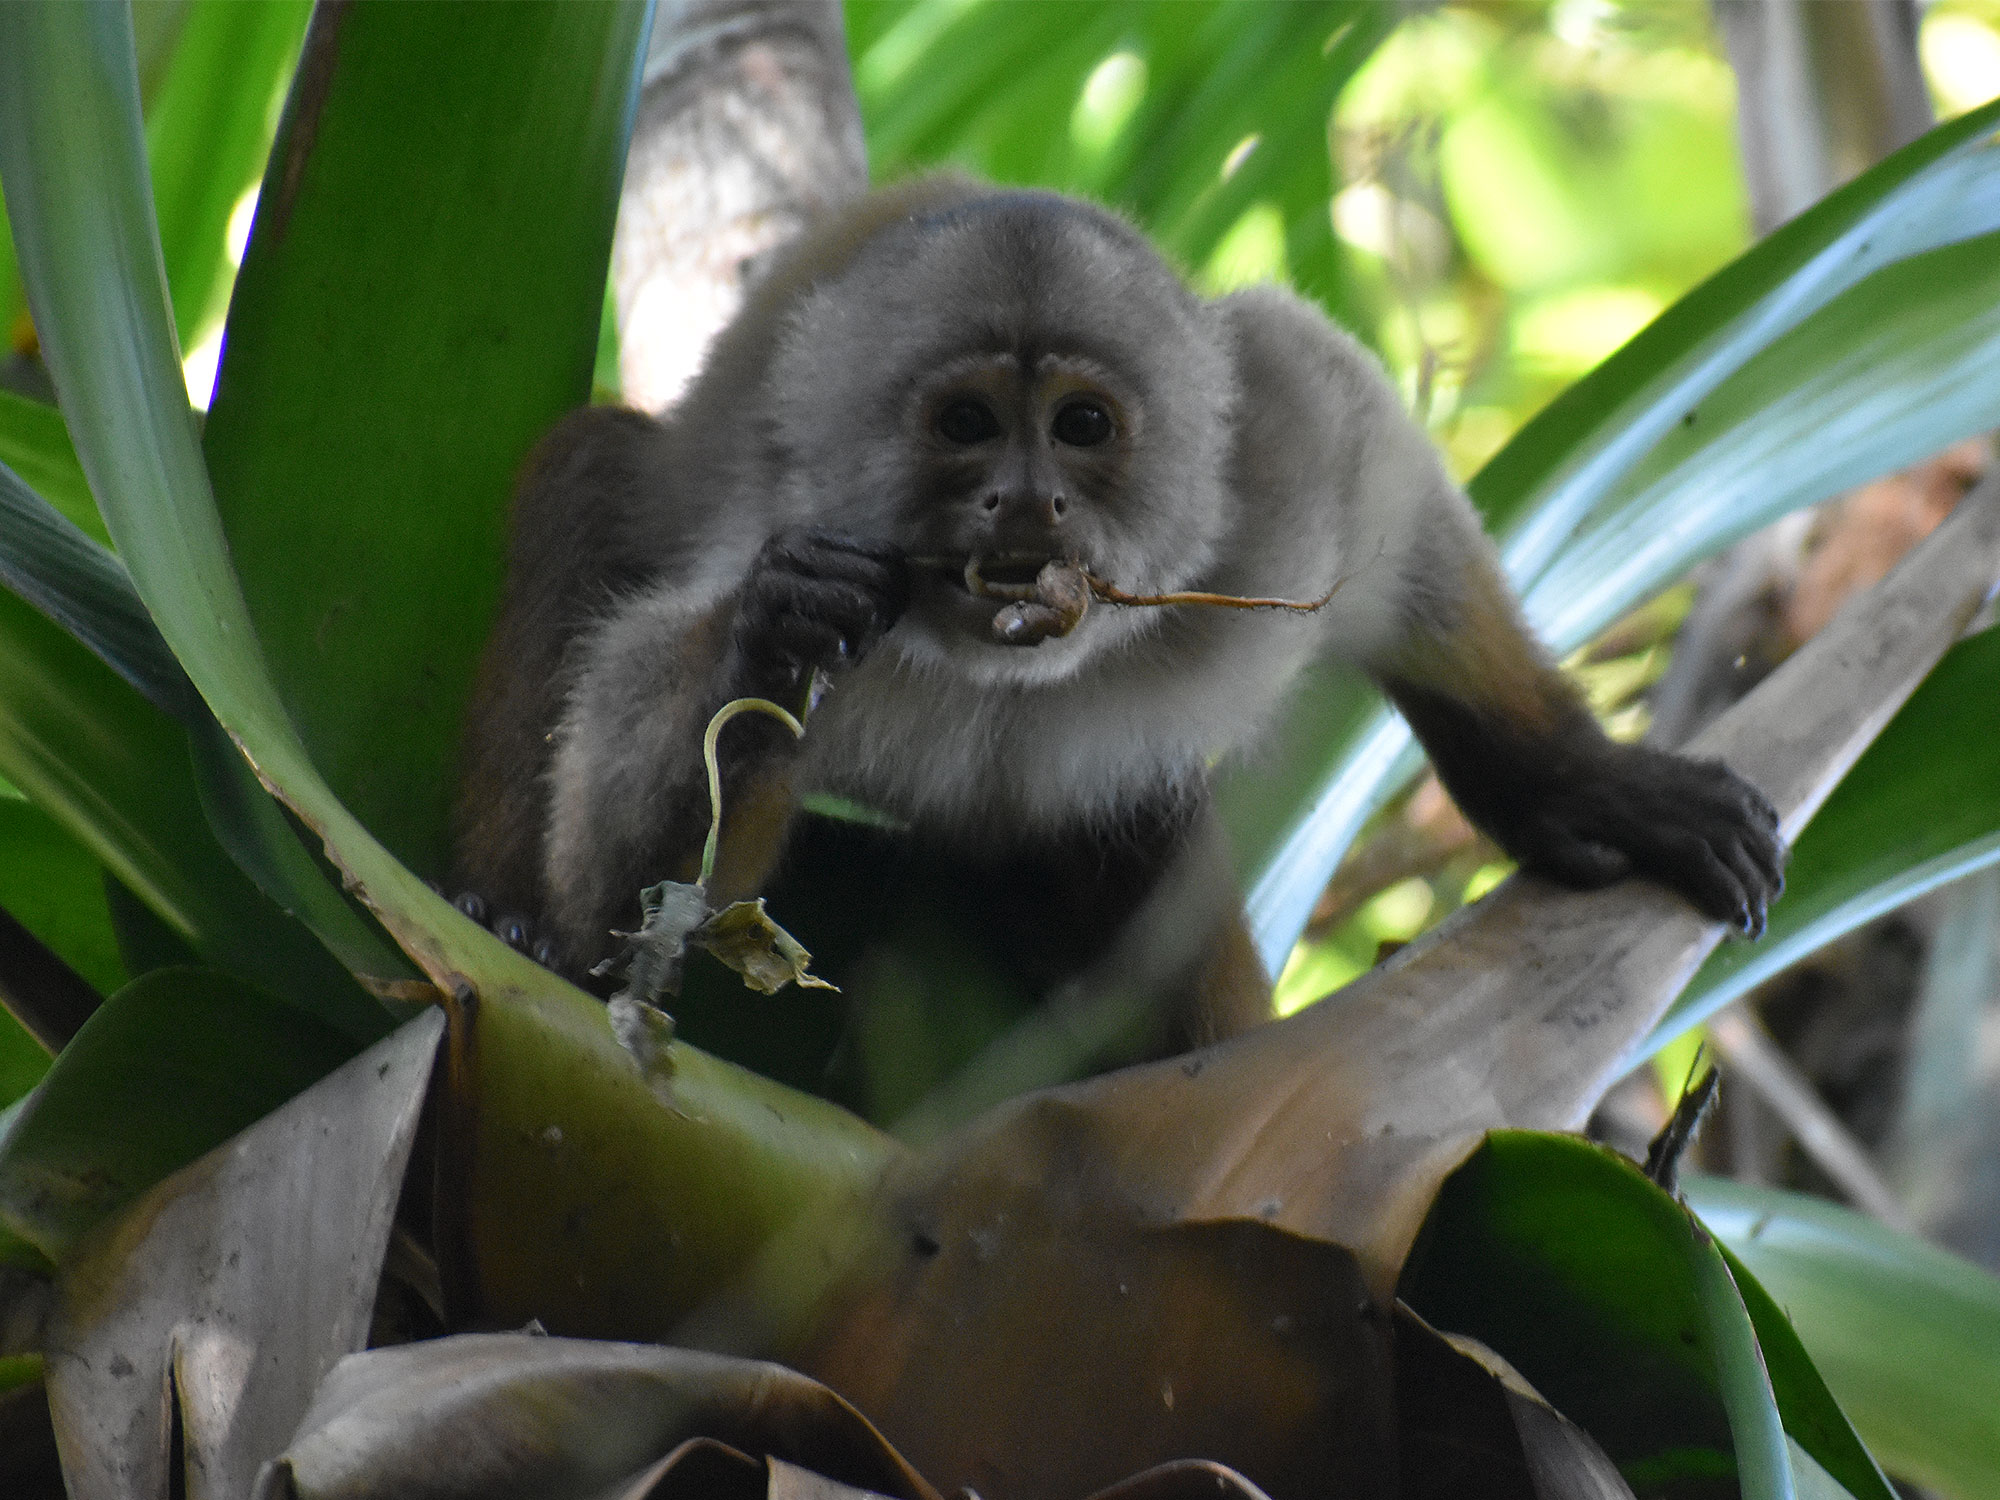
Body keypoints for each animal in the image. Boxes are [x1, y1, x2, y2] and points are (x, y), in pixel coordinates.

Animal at [454, 173, 1784, 1032]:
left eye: (1080, 427)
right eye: (966, 425)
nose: (1024, 500)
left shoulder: (1270, 483)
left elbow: (1362, 449)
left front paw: (1572, 783)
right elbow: (634, 940)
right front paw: (774, 636)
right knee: (593, 469)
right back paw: (496, 912)